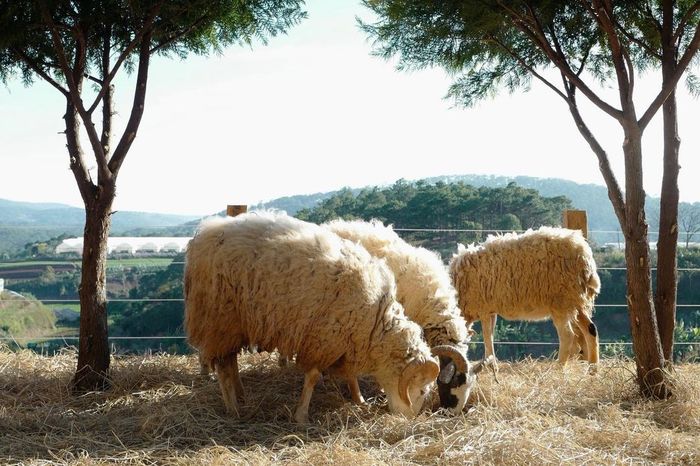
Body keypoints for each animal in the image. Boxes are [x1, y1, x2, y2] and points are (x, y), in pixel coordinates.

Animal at [183, 213, 440, 424]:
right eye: (422, 391)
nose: (408, 419)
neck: (376, 322)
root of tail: (203, 234)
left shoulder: (345, 339)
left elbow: (350, 373)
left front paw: (358, 399)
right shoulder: (323, 338)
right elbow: (313, 376)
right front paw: (301, 415)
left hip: (234, 325)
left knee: (231, 361)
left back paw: (241, 395)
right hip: (220, 318)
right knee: (223, 367)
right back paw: (233, 409)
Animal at [452, 227, 600, 372]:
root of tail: (583, 253)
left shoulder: (484, 309)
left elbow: (487, 337)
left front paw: (490, 366)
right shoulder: (491, 311)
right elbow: (490, 336)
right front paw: (490, 363)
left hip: (561, 301)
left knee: (568, 336)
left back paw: (558, 368)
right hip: (576, 301)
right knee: (591, 329)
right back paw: (592, 370)